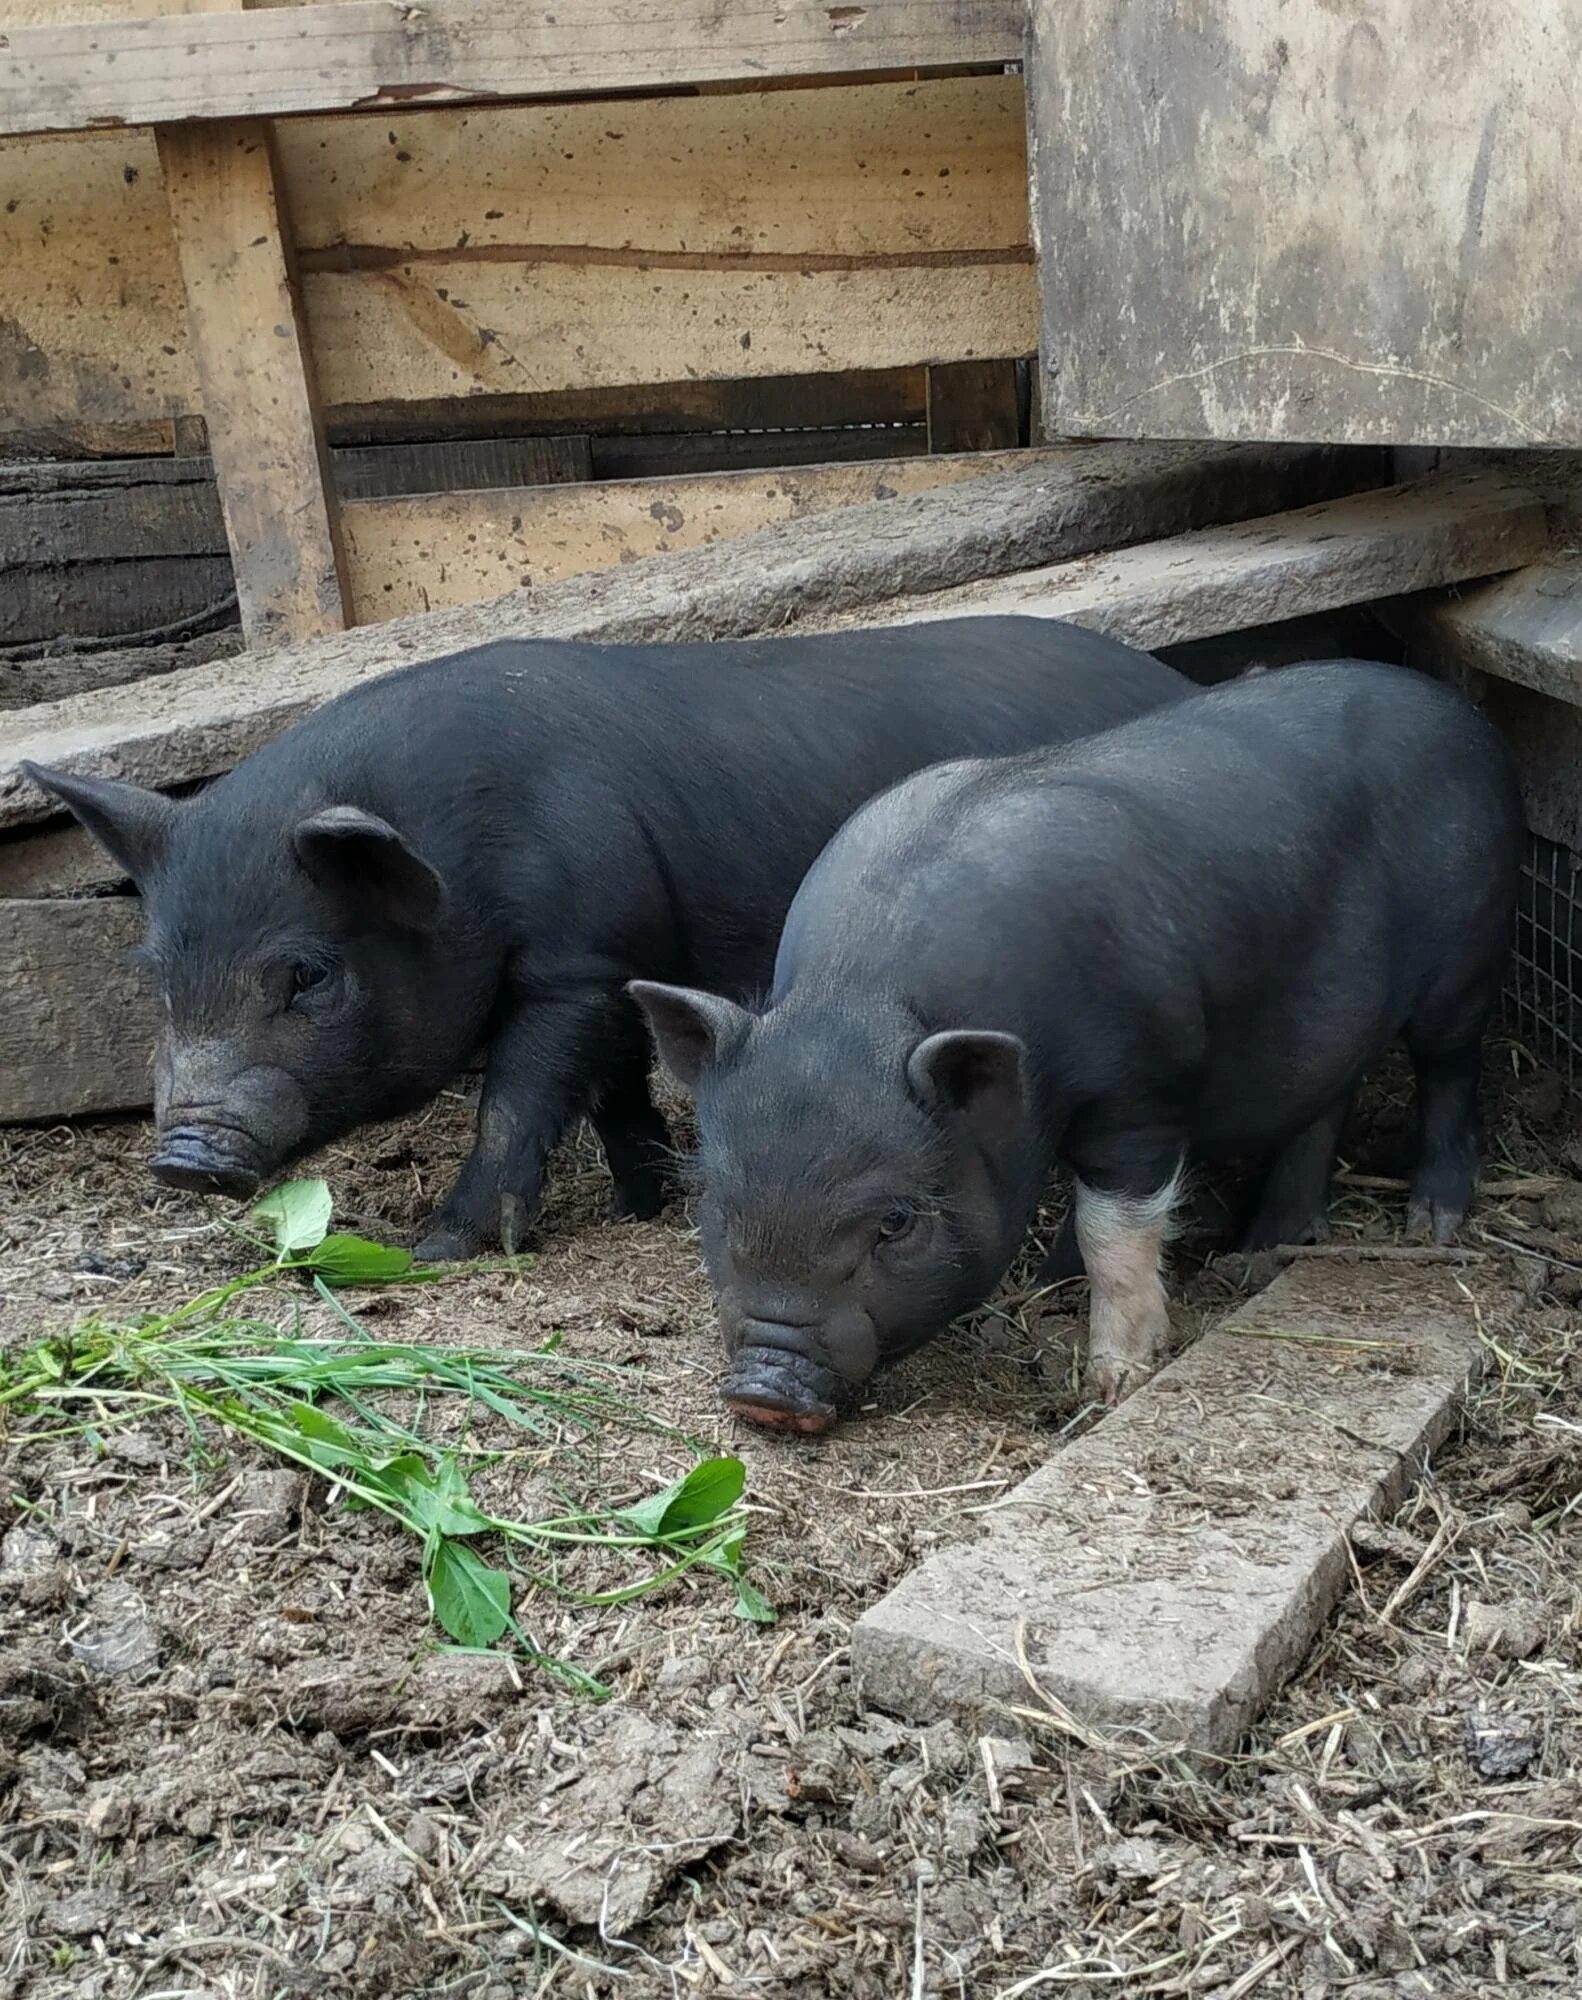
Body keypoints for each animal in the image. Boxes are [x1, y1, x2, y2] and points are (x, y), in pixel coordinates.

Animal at [24, 616, 1184, 1256]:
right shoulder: (625, 961)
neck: (464, 850)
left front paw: (444, 1247)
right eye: (154, 974)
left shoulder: (574, 959)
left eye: (304, 975)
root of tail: (1176, 683)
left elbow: (520, 1097)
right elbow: (616, 1087)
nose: (184, 1157)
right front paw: (644, 1202)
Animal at [636, 664, 1528, 1432]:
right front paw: (1048, 1278)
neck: (862, 995)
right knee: (1326, 1095)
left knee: (1451, 1069)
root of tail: (1463, 714)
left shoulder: (1143, 1094)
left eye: (896, 1221)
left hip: (1467, 951)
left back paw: (1430, 1226)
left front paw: (1114, 1383)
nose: (763, 1390)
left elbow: (1115, 1229)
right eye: (715, 1200)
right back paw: (1267, 1247)